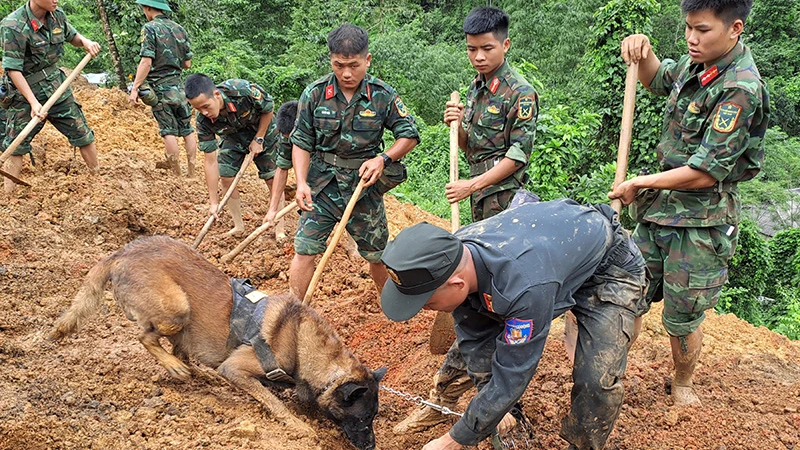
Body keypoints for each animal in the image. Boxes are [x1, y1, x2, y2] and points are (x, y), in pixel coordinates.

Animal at [50, 236, 388, 450]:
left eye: (373, 418)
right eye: (364, 419)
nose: (372, 446)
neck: (303, 346)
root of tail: (119, 254)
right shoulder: (237, 369)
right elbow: (273, 400)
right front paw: (297, 425)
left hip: (184, 325)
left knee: (180, 349)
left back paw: (197, 372)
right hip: (177, 309)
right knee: (145, 336)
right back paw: (176, 368)